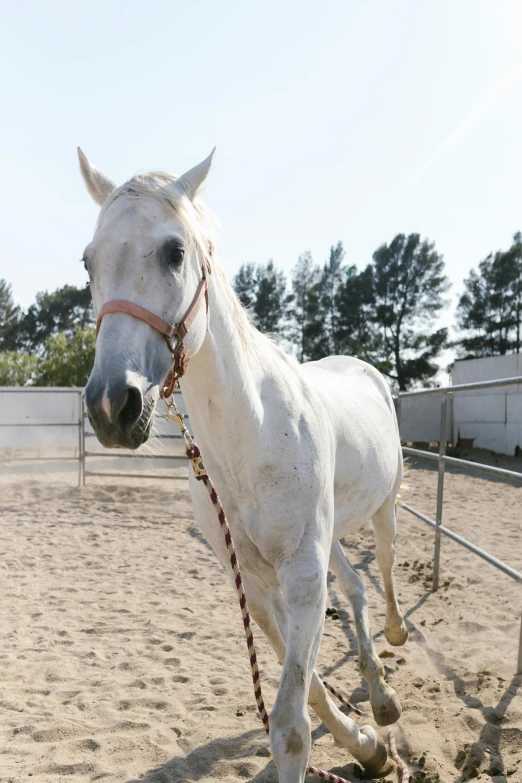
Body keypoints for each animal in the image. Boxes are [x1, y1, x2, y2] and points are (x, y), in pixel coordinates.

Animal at [78, 149, 406, 783]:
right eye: (88, 261)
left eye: (175, 251)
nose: (111, 404)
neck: (250, 437)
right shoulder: (255, 584)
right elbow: (309, 692)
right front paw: (366, 747)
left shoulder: (302, 573)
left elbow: (291, 724)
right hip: (331, 536)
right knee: (355, 590)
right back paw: (379, 703)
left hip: (382, 511)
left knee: (381, 574)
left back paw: (395, 653)